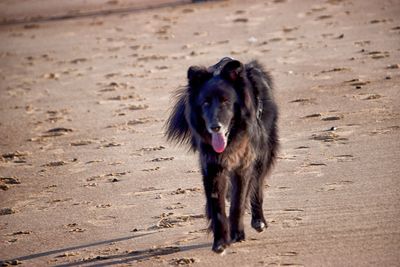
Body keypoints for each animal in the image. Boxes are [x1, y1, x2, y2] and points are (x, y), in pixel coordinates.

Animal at [165, 57, 278, 254]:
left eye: (226, 101)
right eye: (205, 103)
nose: (215, 127)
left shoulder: (244, 164)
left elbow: (238, 202)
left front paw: (237, 233)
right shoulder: (212, 167)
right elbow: (217, 206)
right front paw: (220, 242)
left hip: (264, 153)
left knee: (257, 185)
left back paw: (259, 221)